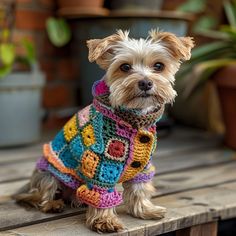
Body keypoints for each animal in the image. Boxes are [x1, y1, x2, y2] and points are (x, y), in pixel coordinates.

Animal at [13, 29, 194, 232]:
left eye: (158, 66)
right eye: (124, 67)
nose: (146, 83)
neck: (132, 116)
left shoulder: (143, 165)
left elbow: (139, 188)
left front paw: (145, 210)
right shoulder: (102, 163)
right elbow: (101, 192)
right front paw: (105, 221)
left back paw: (78, 200)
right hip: (49, 172)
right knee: (41, 194)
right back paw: (52, 204)